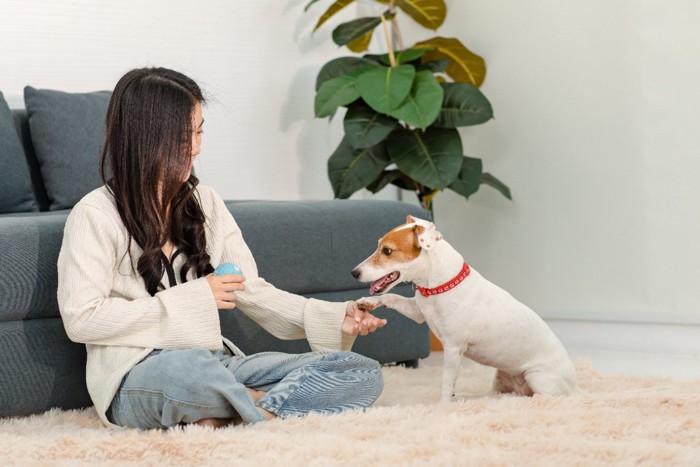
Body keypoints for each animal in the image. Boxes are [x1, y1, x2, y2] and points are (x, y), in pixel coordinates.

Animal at [352, 216, 576, 402]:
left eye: (387, 251)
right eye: (379, 246)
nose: (354, 273)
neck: (437, 286)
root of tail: (575, 387)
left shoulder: (453, 348)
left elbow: (446, 382)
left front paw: (442, 406)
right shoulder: (417, 312)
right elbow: (391, 296)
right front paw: (367, 302)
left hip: (537, 377)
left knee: (543, 397)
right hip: (501, 378)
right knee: (494, 395)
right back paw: (469, 398)